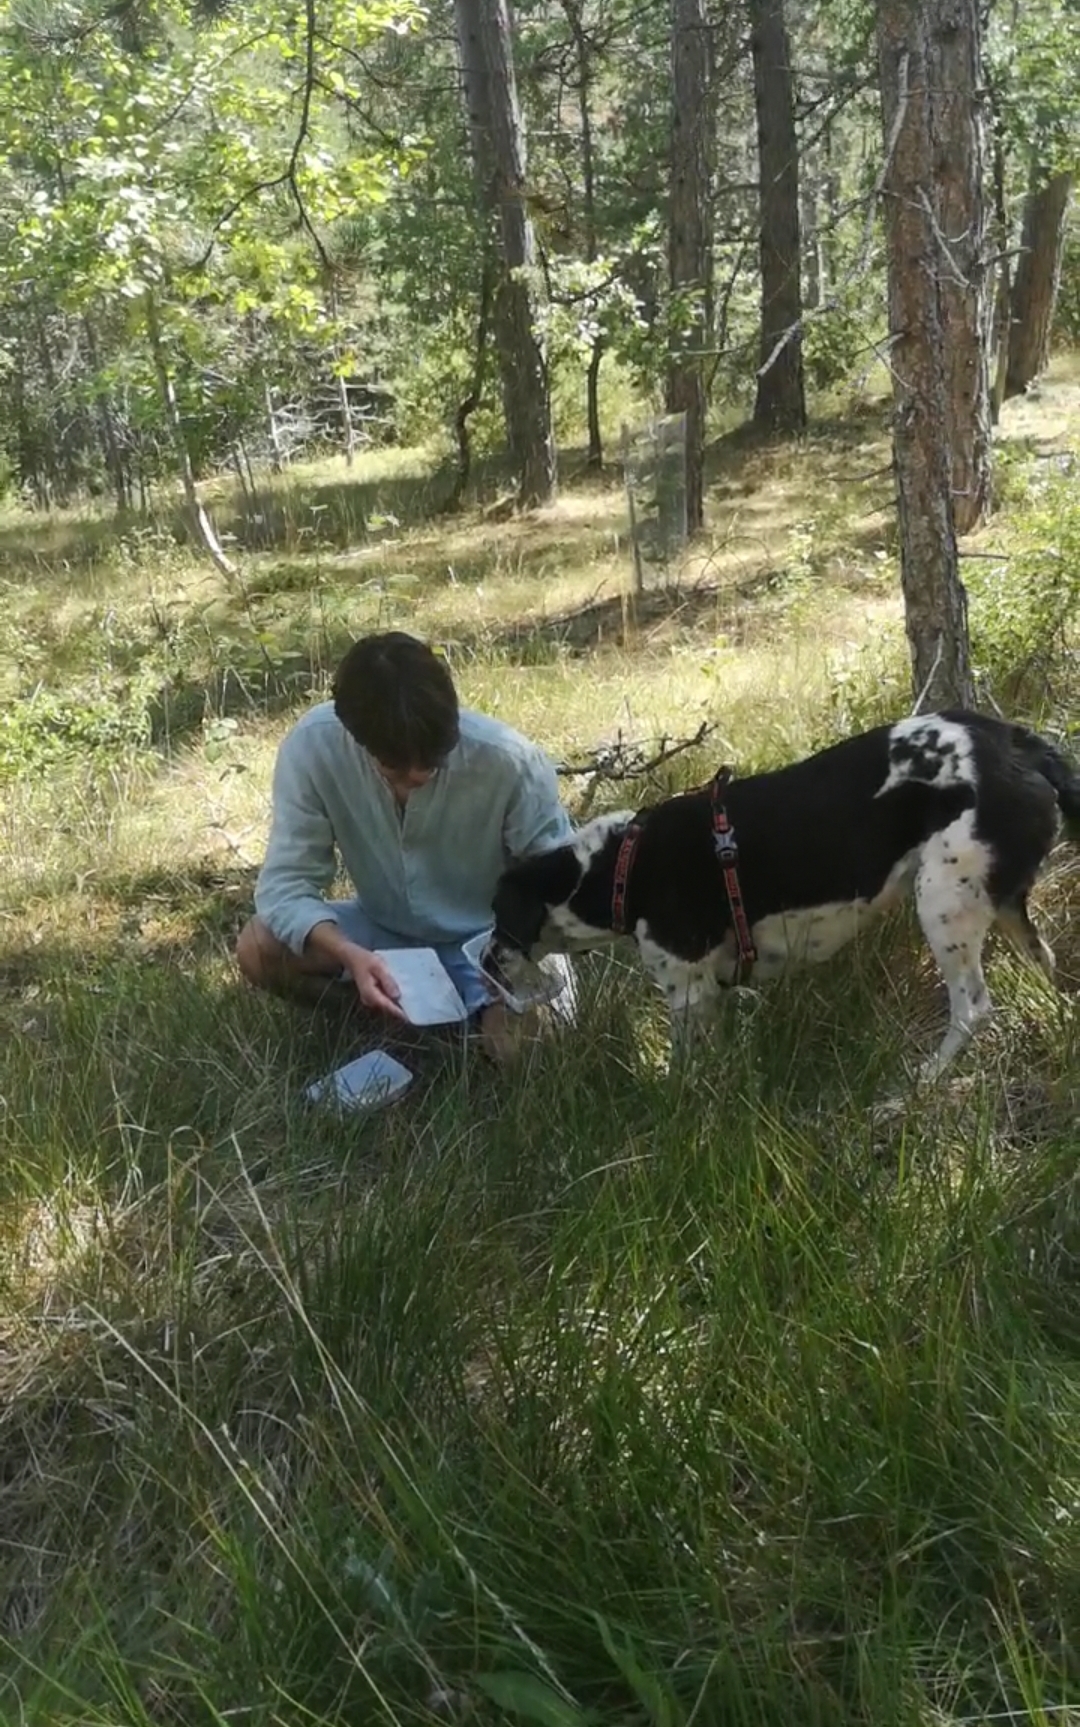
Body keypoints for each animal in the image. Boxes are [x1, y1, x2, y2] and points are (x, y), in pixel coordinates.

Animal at [490, 711, 1078, 1077]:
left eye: (495, 915)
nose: (488, 961)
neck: (620, 865)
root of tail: (1016, 742)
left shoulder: (687, 991)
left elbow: (683, 1071)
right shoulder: (712, 993)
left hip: (943, 903)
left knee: (973, 1009)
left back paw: (920, 1083)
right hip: (1003, 904)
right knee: (1045, 962)